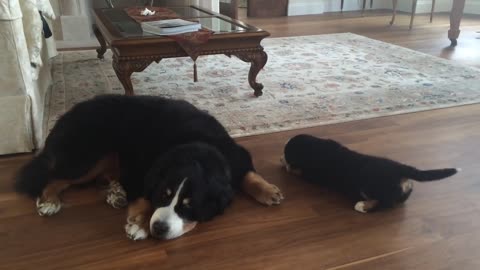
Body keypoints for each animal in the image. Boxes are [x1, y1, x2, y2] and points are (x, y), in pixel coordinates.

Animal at [15, 95, 284, 240]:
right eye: (163, 195)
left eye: (189, 205)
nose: (158, 228)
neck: (199, 143)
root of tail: (64, 117)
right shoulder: (141, 169)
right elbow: (144, 196)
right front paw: (140, 223)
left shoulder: (236, 155)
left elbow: (248, 174)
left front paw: (268, 190)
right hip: (91, 153)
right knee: (55, 177)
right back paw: (50, 201)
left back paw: (115, 193)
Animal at [282, 134, 458, 212]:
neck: (315, 147)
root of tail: (400, 168)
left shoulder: (308, 174)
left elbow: (294, 169)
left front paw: (285, 164)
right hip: (404, 190)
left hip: (370, 188)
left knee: (383, 204)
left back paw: (362, 206)